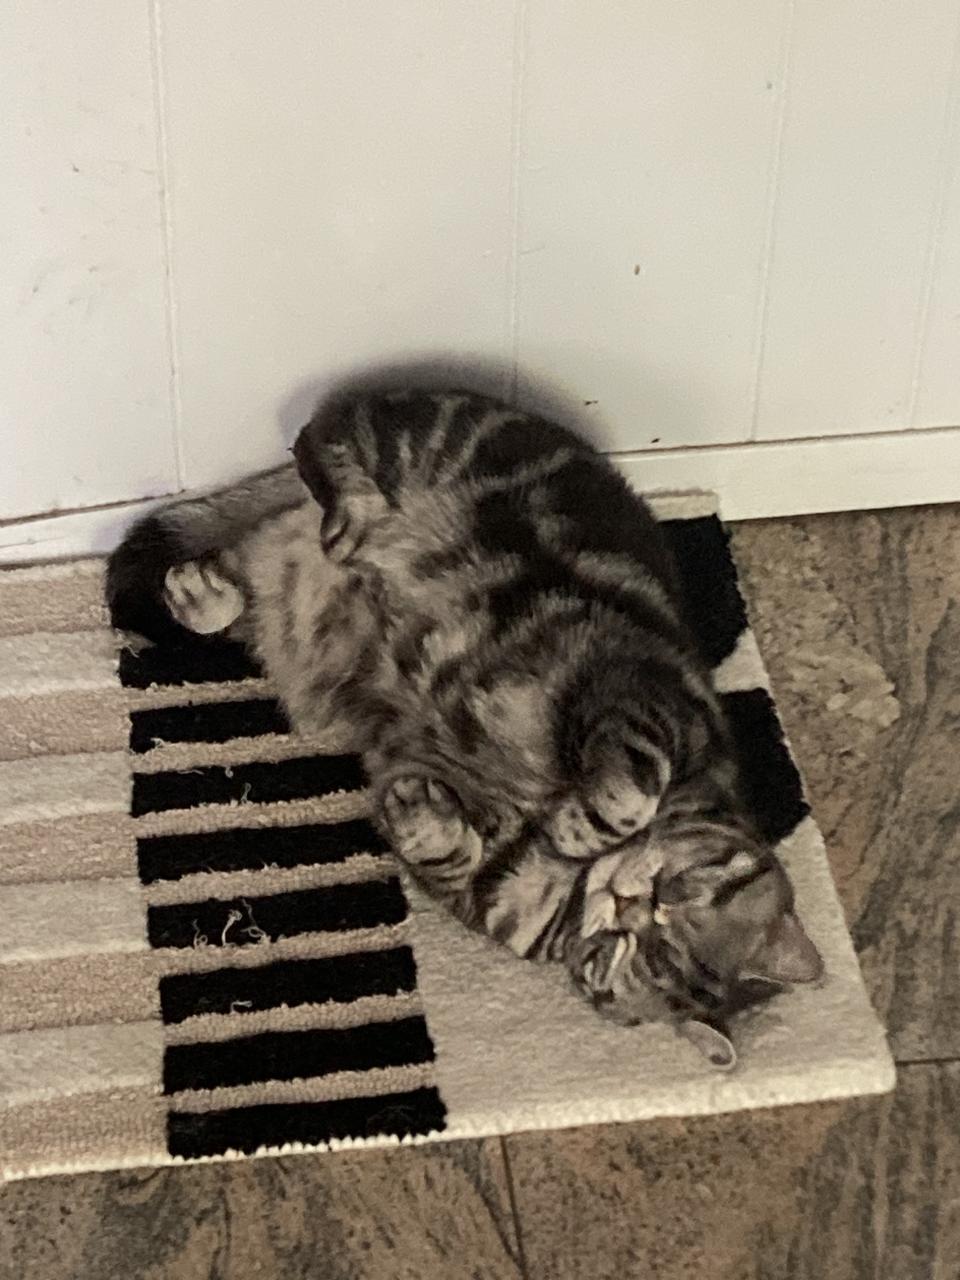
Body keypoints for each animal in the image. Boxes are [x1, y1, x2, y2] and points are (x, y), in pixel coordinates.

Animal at [108, 386, 822, 1067]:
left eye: (649, 960)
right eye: (675, 894)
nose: (629, 905)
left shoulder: (484, 893)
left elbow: (447, 851)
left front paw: (424, 813)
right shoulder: (643, 702)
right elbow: (628, 794)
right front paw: (576, 827)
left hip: (285, 604)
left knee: (234, 574)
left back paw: (206, 590)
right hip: (428, 442)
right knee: (326, 436)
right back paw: (348, 515)